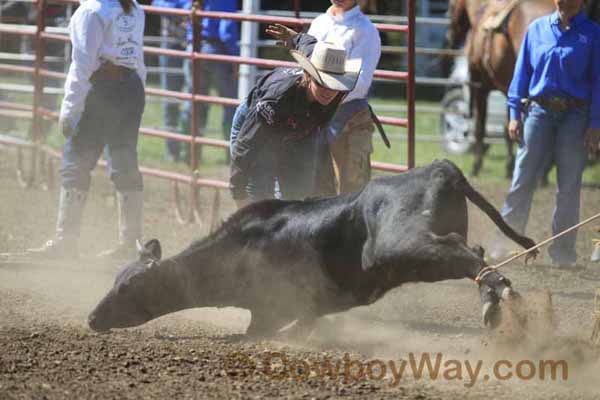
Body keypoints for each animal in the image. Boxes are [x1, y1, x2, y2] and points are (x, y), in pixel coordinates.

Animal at [446, 0, 552, 178]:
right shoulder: (508, 90)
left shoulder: (481, 88)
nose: (450, 37)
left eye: (450, 5)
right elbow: (508, 127)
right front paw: (509, 167)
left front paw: (476, 166)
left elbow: (480, 127)